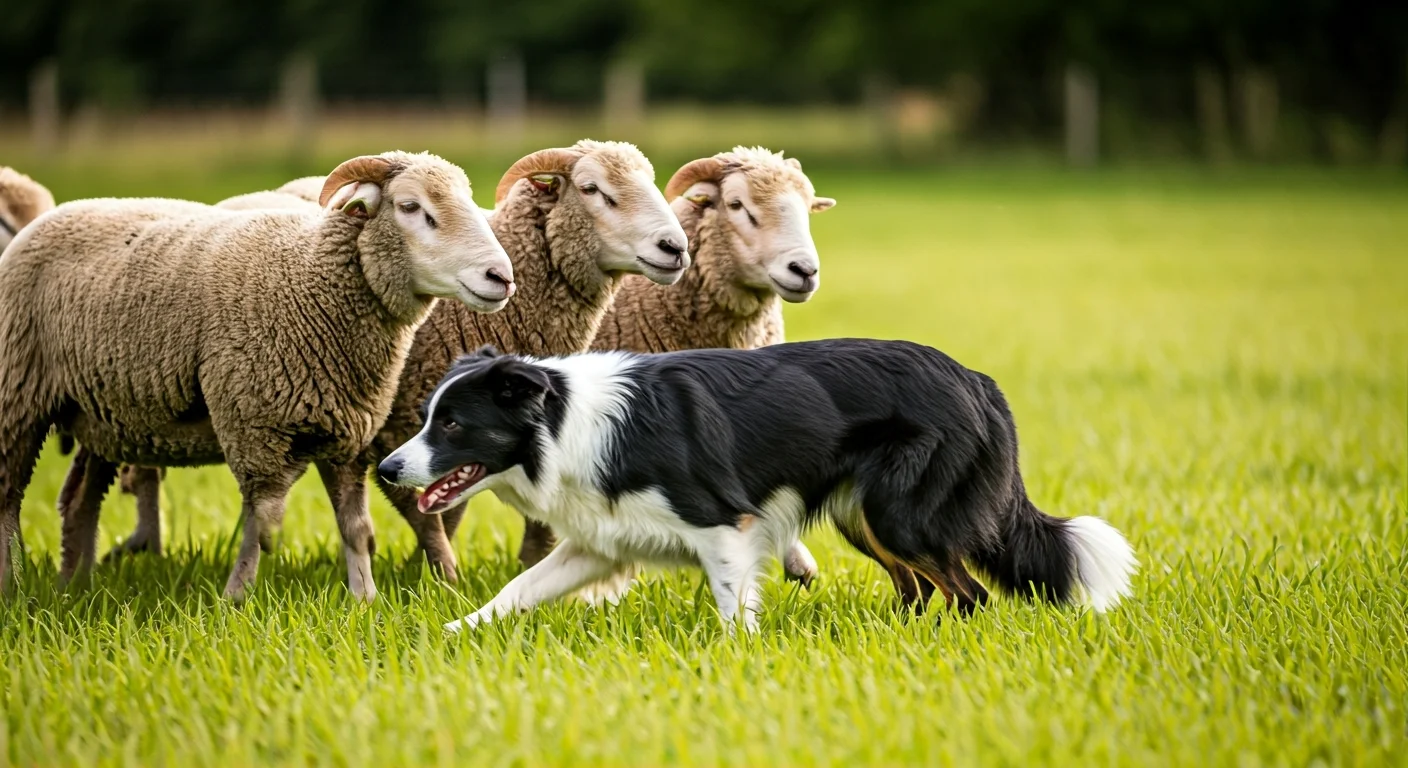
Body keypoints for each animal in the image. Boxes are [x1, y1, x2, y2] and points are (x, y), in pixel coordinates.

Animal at [0, 151, 515, 601]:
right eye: (411, 207)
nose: (501, 277)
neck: (311, 278)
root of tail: (55, 213)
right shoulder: (254, 426)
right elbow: (261, 522)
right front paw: (237, 596)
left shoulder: (345, 430)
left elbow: (356, 526)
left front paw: (365, 599)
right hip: (17, 396)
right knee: (8, 498)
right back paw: (15, 589)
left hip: (99, 415)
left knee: (80, 502)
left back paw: (75, 587)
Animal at [365, 140, 690, 579]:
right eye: (590, 188)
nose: (675, 248)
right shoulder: (399, 425)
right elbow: (425, 506)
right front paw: (439, 576)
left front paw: (526, 563)